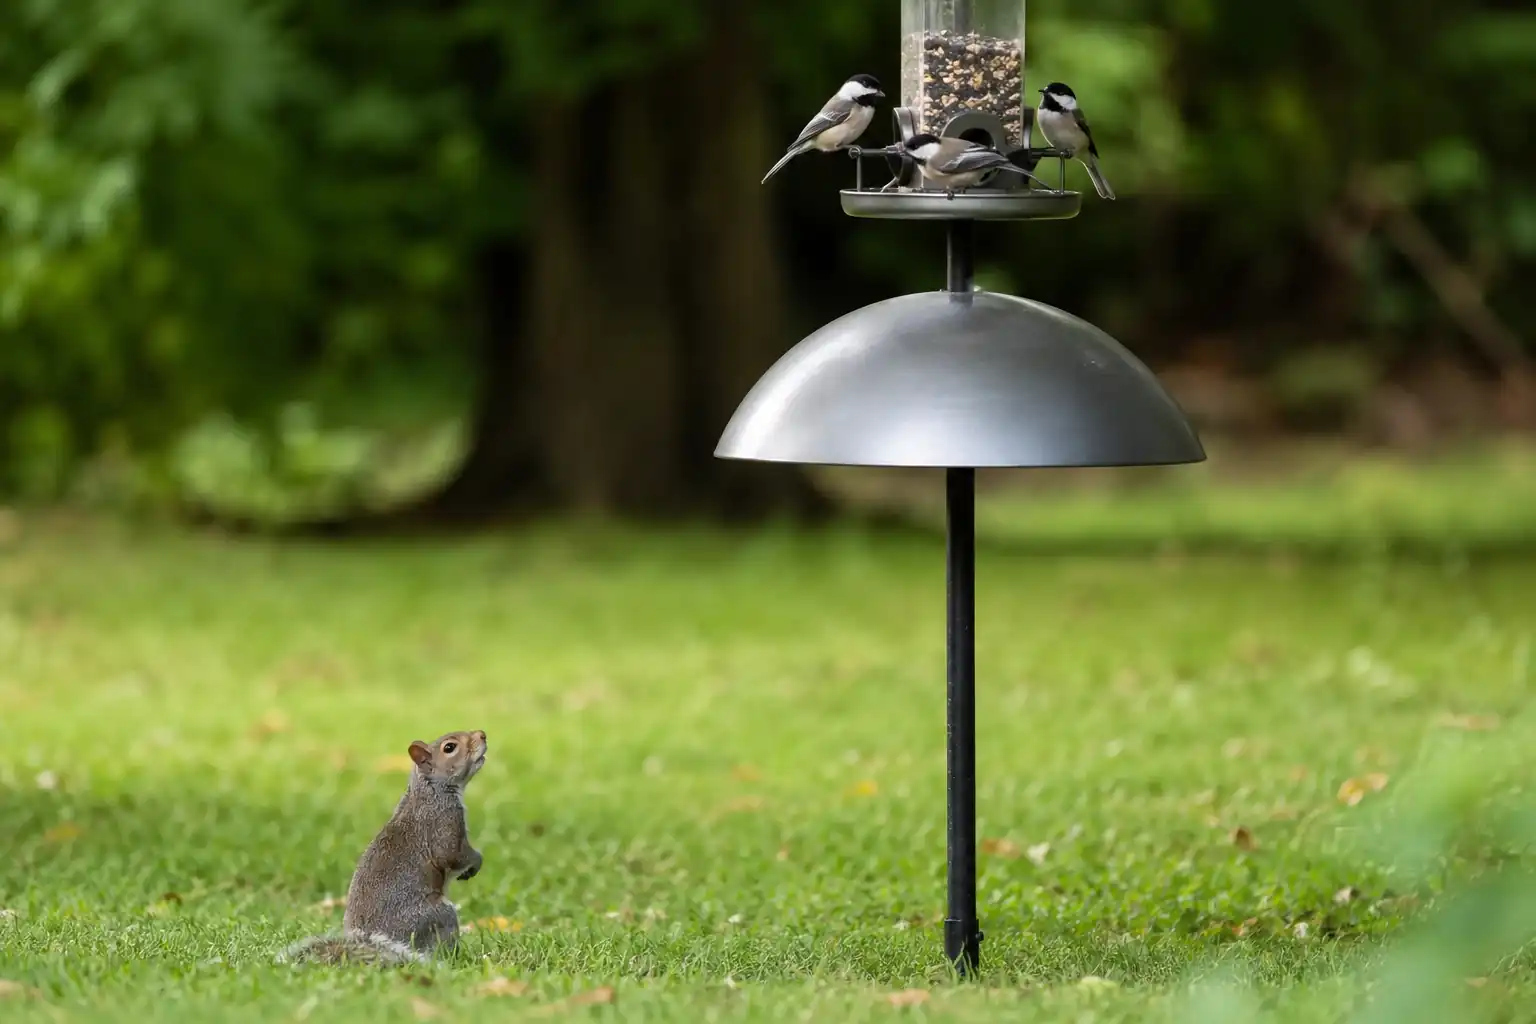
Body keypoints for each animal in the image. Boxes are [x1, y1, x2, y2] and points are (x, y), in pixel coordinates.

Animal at [278, 729, 488, 966]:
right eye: (449, 748)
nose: (482, 734)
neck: (431, 790)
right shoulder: (444, 824)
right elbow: (452, 855)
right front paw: (476, 862)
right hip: (439, 915)